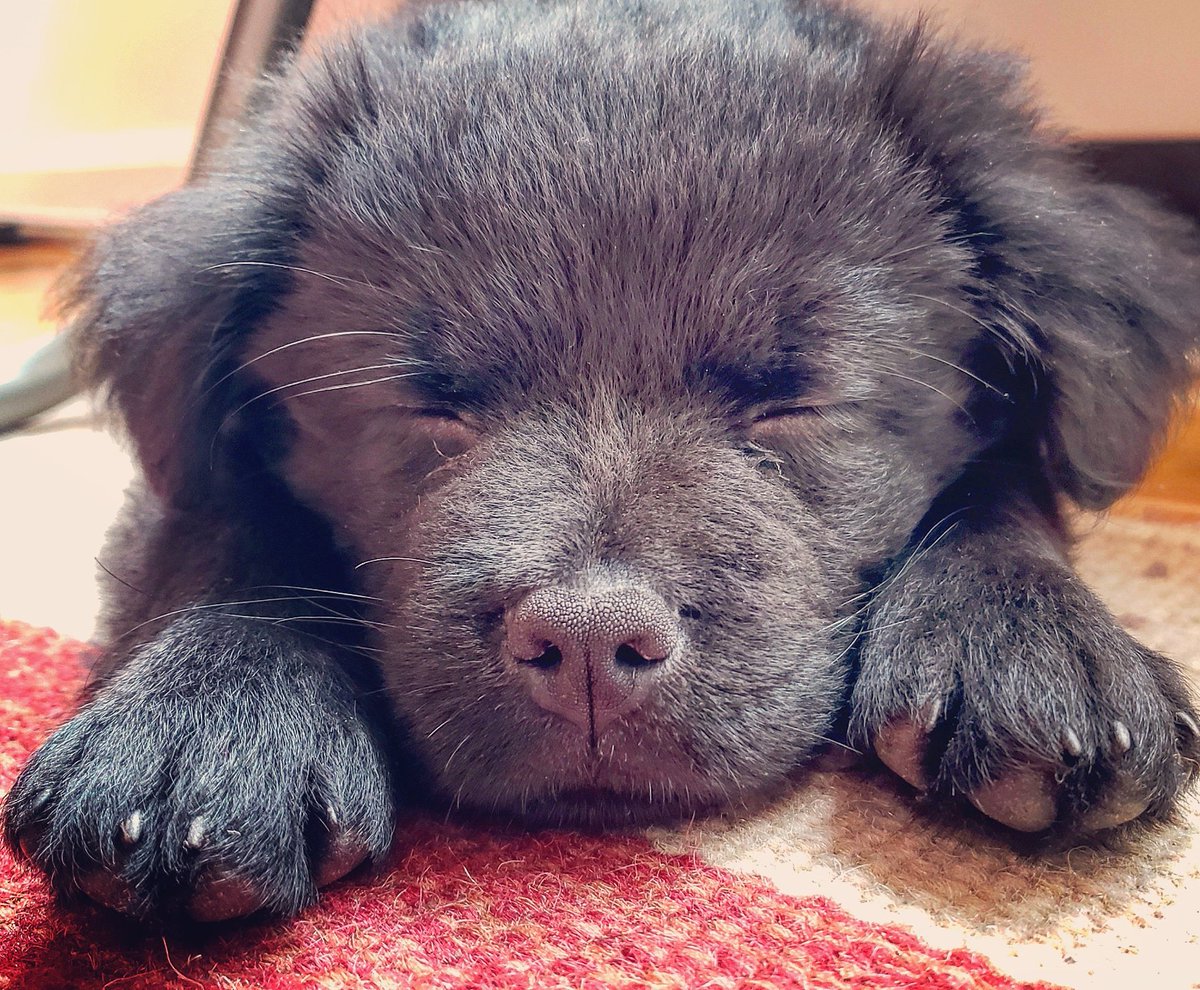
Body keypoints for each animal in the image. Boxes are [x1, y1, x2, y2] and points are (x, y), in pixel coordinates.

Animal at [2, 0, 1200, 921]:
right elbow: (228, 522)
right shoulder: (183, 479)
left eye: (794, 400)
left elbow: (1010, 482)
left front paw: (1028, 639)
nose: (585, 643)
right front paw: (204, 721)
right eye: (428, 406)